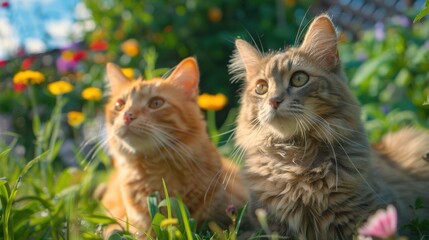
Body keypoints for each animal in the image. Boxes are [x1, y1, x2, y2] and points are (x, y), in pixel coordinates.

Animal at [229, 14, 428, 238]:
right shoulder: (267, 226)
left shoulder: (377, 213)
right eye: (261, 88)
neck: (295, 159)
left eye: (299, 79)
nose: (274, 100)